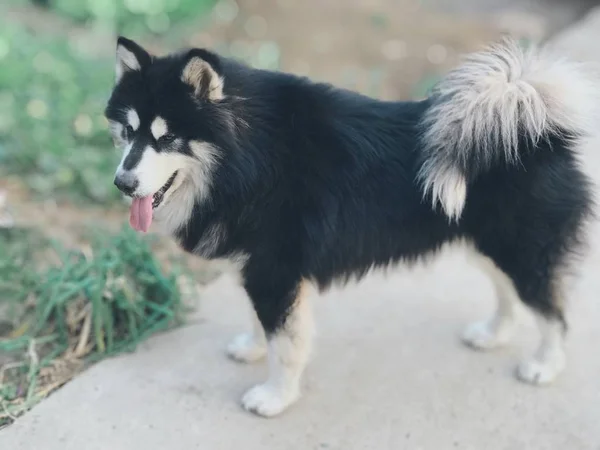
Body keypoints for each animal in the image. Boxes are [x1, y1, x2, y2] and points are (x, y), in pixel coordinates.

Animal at [105, 36, 596, 418]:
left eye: (167, 137)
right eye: (128, 132)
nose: (122, 183)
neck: (247, 159)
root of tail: (536, 126)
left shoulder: (276, 273)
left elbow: (287, 345)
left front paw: (275, 397)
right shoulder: (259, 270)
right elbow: (264, 324)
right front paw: (253, 346)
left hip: (520, 250)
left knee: (552, 313)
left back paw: (545, 365)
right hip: (487, 244)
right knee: (508, 291)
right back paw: (494, 334)